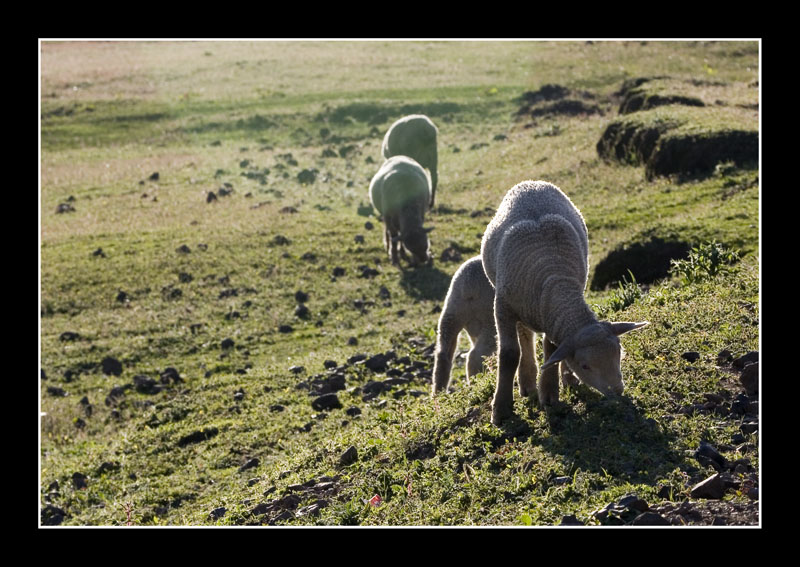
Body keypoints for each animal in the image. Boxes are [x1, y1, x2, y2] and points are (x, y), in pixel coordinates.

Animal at [478, 180, 648, 424]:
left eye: (619, 352)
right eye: (586, 366)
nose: (617, 391)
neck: (554, 280)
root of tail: (532, 183)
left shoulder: (554, 317)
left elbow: (552, 349)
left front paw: (549, 393)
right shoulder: (503, 307)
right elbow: (509, 355)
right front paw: (501, 409)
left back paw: (561, 380)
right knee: (524, 335)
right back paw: (527, 382)